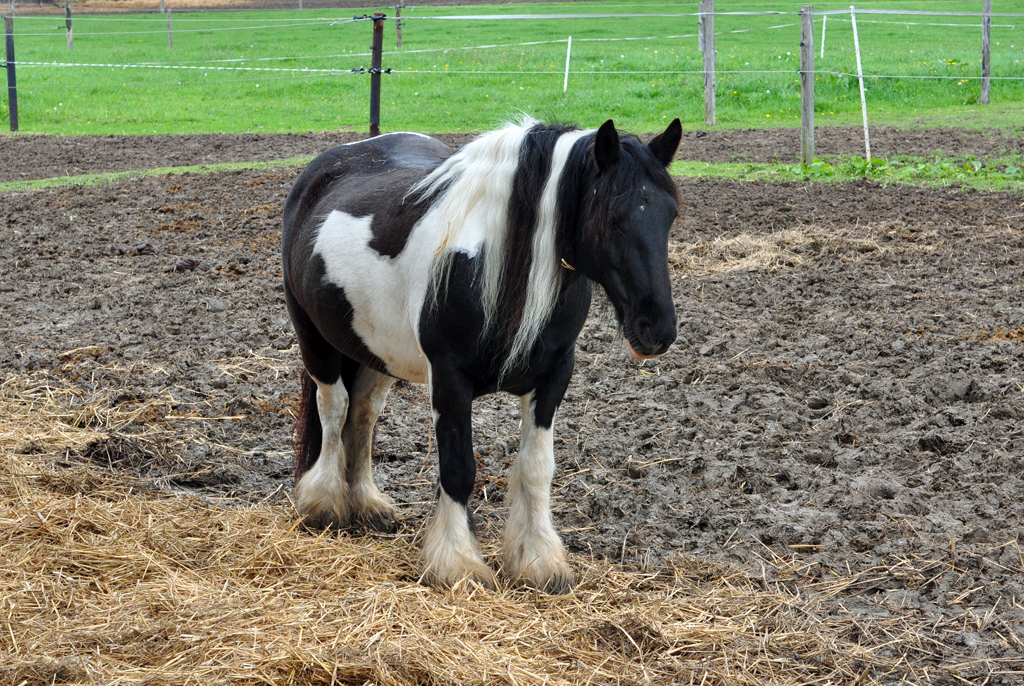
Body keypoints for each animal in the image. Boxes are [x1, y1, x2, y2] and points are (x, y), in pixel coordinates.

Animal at [282, 115, 679, 593]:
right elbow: (458, 468)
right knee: (334, 407)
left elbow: (536, 468)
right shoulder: (450, 379)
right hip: (315, 339)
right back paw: (324, 503)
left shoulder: (554, 376)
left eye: (671, 216)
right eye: (614, 219)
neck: (497, 264)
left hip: (376, 351)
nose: (657, 330)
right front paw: (458, 563)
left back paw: (367, 503)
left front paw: (539, 561)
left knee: (362, 415)